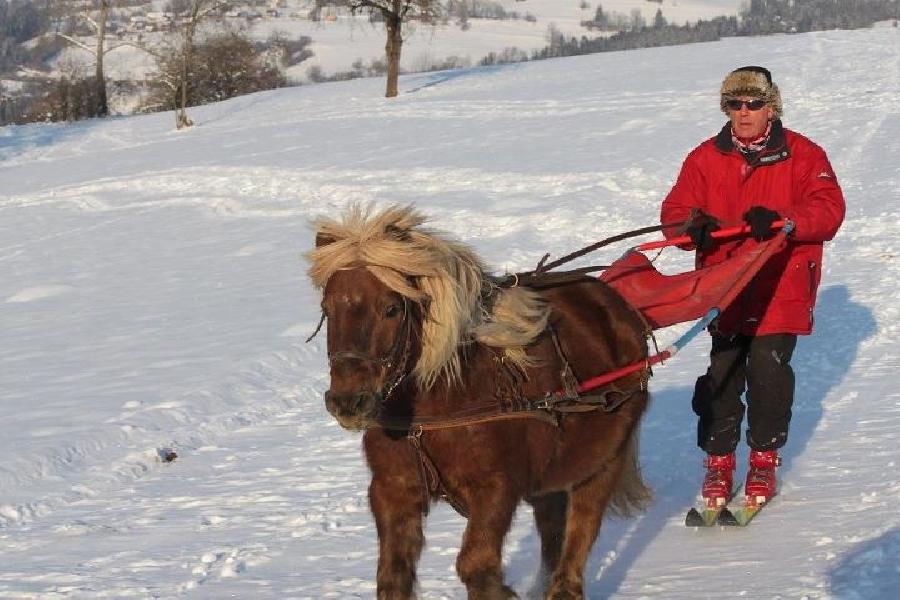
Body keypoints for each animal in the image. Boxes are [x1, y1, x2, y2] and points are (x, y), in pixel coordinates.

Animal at [306, 204, 652, 596]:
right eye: (328, 308)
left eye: (391, 309)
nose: (348, 401)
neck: (441, 409)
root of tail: (614, 304)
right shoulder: (392, 491)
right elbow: (393, 575)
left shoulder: (496, 491)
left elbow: (476, 565)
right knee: (552, 527)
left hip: (604, 461)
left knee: (581, 531)